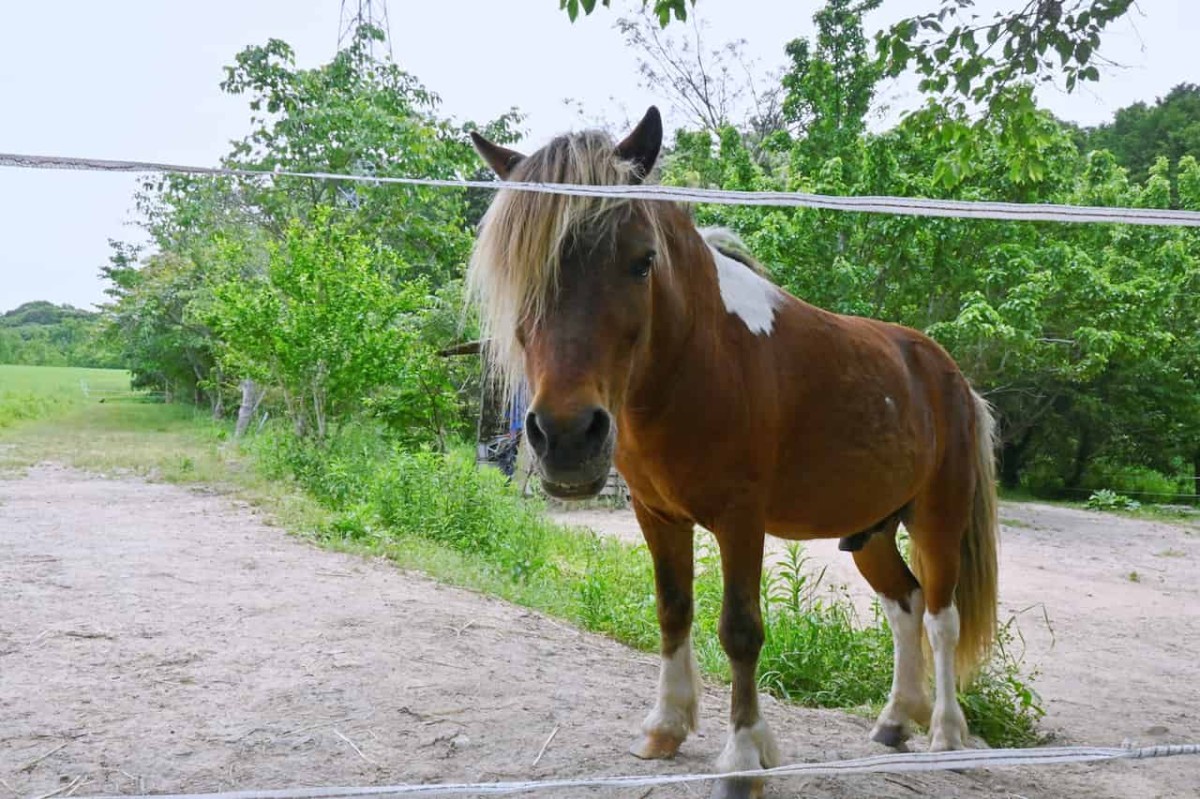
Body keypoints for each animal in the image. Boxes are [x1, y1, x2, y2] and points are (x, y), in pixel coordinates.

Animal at [468, 105, 1003, 796]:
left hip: (938, 517)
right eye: (520, 271)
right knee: (904, 605)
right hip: (871, 532)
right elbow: (672, 611)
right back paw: (893, 722)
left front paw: (745, 755)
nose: (565, 437)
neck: (697, 358)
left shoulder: (740, 520)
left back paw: (945, 733)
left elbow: (741, 630)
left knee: (941, 617)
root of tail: (952, 378)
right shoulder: (656, 515)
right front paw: (665, 728)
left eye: (642, 261)